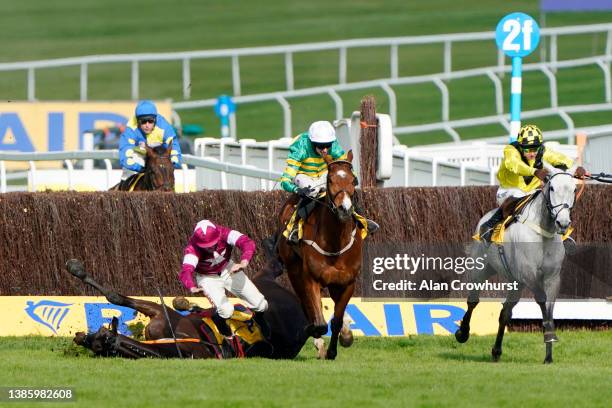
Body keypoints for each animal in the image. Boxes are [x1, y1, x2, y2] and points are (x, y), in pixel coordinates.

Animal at [274, 151, 360, 360]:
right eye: (330, 180)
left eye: (354, 180)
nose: (344, 209)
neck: (335, 242)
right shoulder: (311, 277)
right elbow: (319, 322)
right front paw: (313, 335)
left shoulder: (348, 282)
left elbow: (336, 320)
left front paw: (338, 344)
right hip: (294, 269)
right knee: (307, 304)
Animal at [456, 163, 580, 364]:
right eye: (552, 188)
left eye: (574, 189)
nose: (562, 223)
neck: (543, 233)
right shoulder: (529, 274)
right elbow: (542, 300)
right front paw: (549, 337)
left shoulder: (552, 278)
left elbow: (550, 307)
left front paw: (549, 355)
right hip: (480, 269)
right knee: (473, 300)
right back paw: (462, 333)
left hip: (516, 282)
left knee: (505, 313)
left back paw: (496, 351)